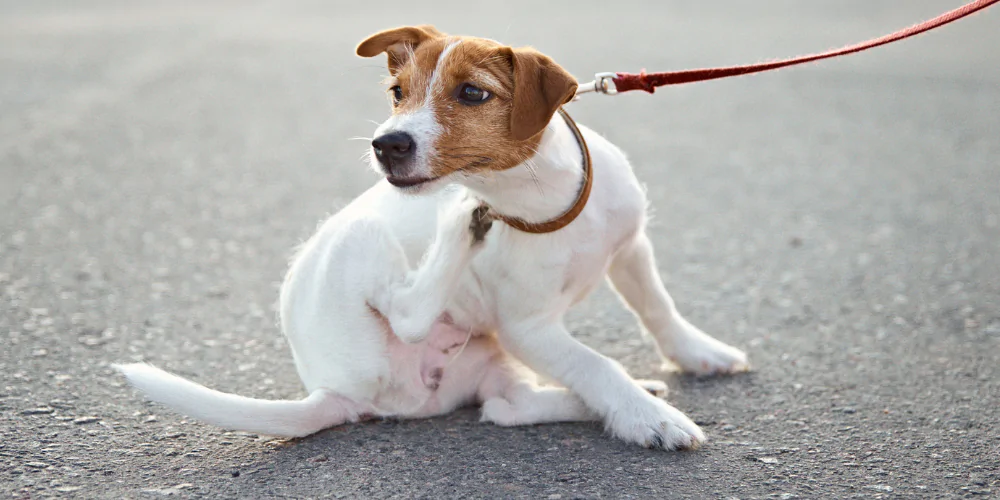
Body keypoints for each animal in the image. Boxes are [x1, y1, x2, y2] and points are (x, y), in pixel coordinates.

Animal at [117, 25, 748, 452]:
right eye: (397, 91)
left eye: (472, 94)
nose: (386, 144)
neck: (541, 205)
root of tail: (331, 388)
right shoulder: (529, 328)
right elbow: (597, 365)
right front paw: (647, 419)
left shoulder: (631, 248)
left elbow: (658, 309)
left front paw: (698, 356)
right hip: (363, 238)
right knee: (409, 313)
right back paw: (460, 224)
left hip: (489, 363)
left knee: (505, 408)